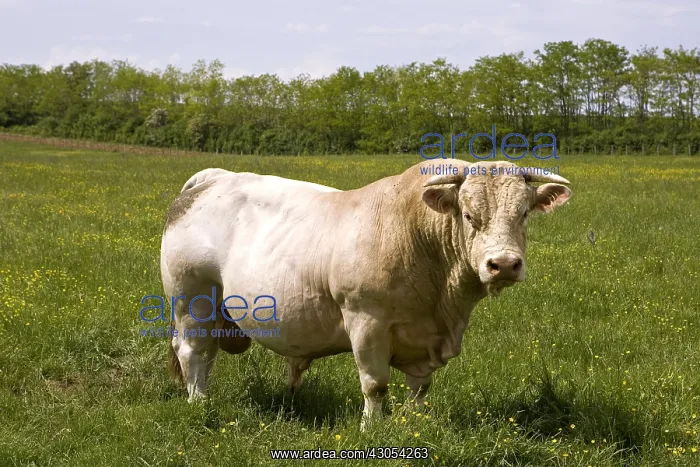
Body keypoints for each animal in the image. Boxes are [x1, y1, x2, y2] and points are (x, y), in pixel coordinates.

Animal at [160, 159, 571, 429]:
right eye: (469, 216)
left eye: (523, 214)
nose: (503, 264)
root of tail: (214, 177)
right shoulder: (366, 321)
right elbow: (375, 384)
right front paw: (371, 429)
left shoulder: (426, 338)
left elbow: (420, 388)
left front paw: (413, 424)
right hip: (192, 298)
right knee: (193, 351)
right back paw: (200, 402)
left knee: (207, 353)